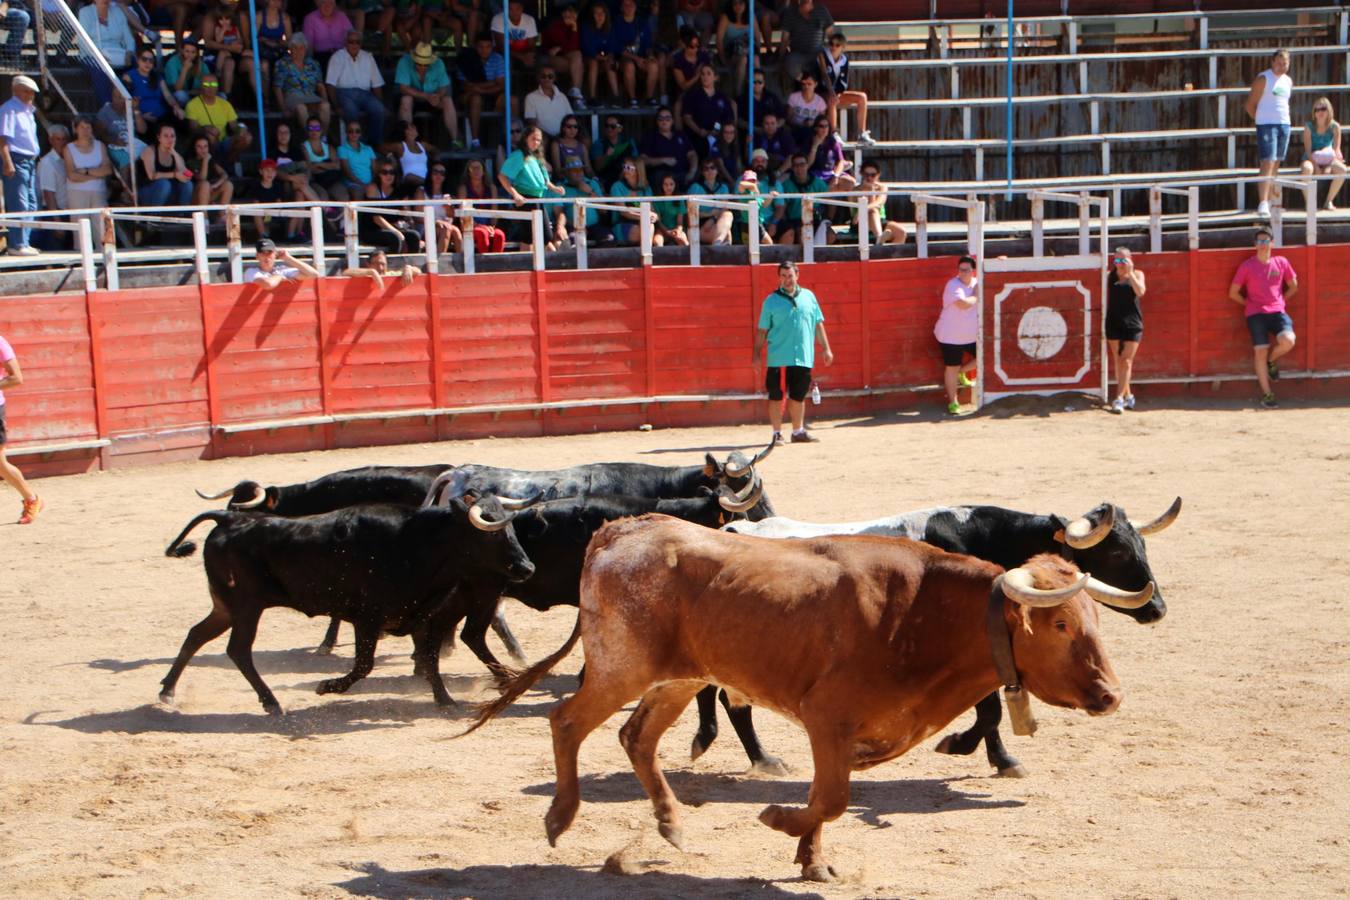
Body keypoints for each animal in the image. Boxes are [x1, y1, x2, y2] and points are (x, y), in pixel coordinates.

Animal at [157, 496, 531, 712]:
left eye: (512, 530)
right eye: (492, 534)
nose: (527, 568)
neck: (413, 543)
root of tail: (229, 518)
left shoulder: (419, 615)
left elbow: (429, 658)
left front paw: (445, 700)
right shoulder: (367, 618)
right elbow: (364, 665)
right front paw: (328, 686)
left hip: (226, 606)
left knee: (196, 634)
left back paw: (168, 691)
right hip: (247, 606)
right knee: (238, 649)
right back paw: (271, 702)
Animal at [467, 512, 1150, 879]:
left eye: (1094, 618)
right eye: (1058, 624)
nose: (1111, 695)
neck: (925, 614)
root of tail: (621, 530)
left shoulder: (841, 735)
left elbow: (828, 798)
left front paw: (811, 859)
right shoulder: (828, 719)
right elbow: (831, 799)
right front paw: (779, 821)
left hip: (680, 678)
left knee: (636, 737)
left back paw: (671, 824)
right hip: (621, 669)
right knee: (565, 721)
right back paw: (560, 817)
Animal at [712, 496, 1188, 777]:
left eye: (1142, 546)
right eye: (1117, 551)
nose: (1159, 609)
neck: (980, 539)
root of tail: (734, 529)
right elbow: (989, 708)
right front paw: (982, 752)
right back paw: (763, 759)